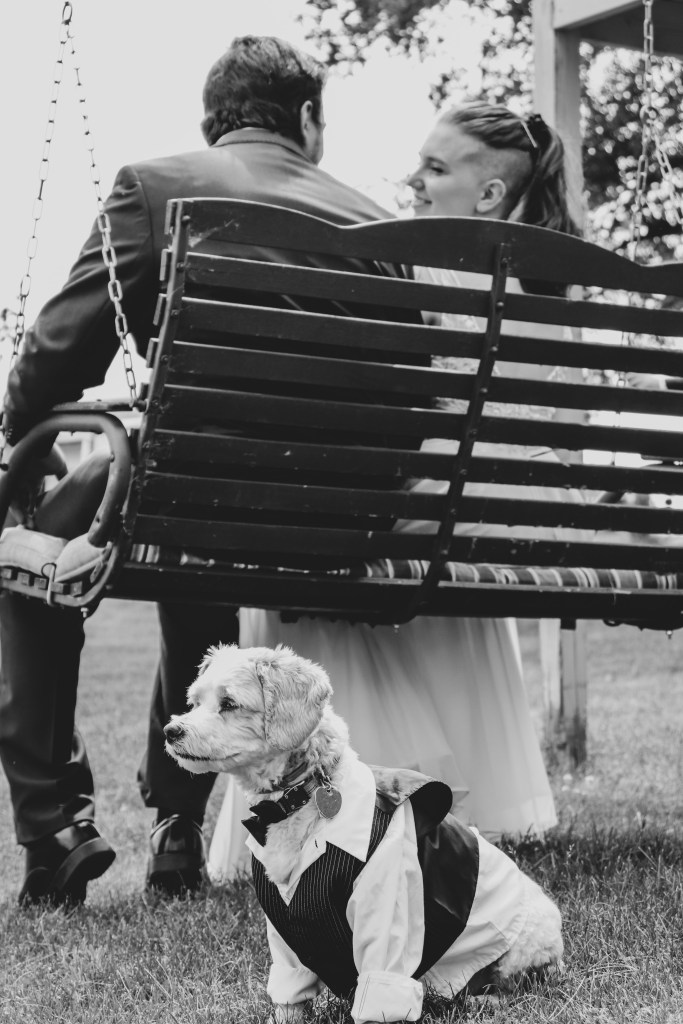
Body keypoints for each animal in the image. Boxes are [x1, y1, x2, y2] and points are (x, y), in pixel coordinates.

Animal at [165, 643, 563, 1023]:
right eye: (194, 702)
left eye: (229, 703)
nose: (170, 731)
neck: (301, 798)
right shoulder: (284, 934)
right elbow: (289, 996)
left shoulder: (385, 908)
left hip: (524, 944)